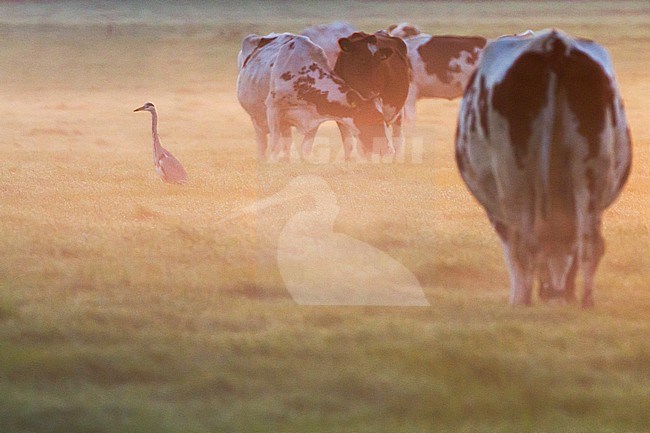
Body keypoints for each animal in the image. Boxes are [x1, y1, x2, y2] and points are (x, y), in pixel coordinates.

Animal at [238, 32, 390, 160]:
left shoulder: (314, 118)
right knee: (262, 143)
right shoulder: (273, 111)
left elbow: (304, 149)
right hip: (256, 118)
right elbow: (275, 145)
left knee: (287, 142)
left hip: (284, 124)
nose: (387, 148)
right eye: (377, 118)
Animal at [454, 28, 632, 306]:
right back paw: (586, 303)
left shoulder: (496, 209)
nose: (554, 293)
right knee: (590, 244)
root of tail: (553, 43)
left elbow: (512, 253)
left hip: (514, 178)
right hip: (591, 170)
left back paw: (523, 303)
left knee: (524, 246)